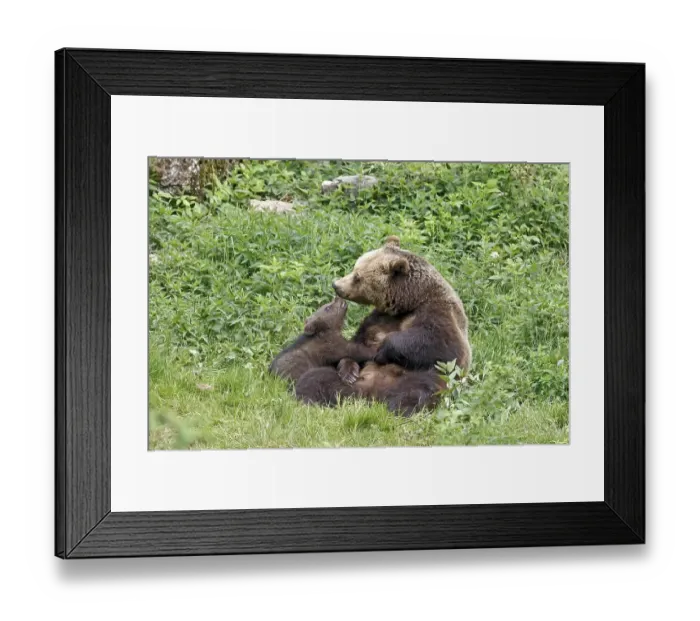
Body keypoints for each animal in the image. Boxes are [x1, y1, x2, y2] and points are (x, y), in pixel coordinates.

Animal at [332, 235, 472, 384]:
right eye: (355, 268)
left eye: (357, 276)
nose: (336, 285)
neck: (411, 301)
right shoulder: (378, 319)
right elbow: (355, 344)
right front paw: (348, 372)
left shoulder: (438, 313)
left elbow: (441, 346)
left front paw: (382, 350)